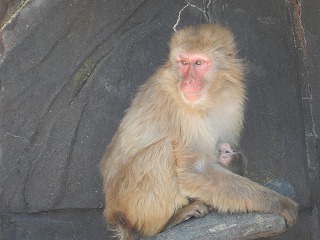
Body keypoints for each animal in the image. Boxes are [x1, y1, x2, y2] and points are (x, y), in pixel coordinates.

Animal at [100, 24, 298, 240]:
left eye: (199, 62)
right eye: (184, 62)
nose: (187, 82)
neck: (210, 97)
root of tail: (113, 211)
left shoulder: (233, 98)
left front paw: (231, 158)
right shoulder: (180, 110)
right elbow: (195, 171)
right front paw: (279, 203)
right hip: (129, 202)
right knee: (162, 150)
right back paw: (167, 222)